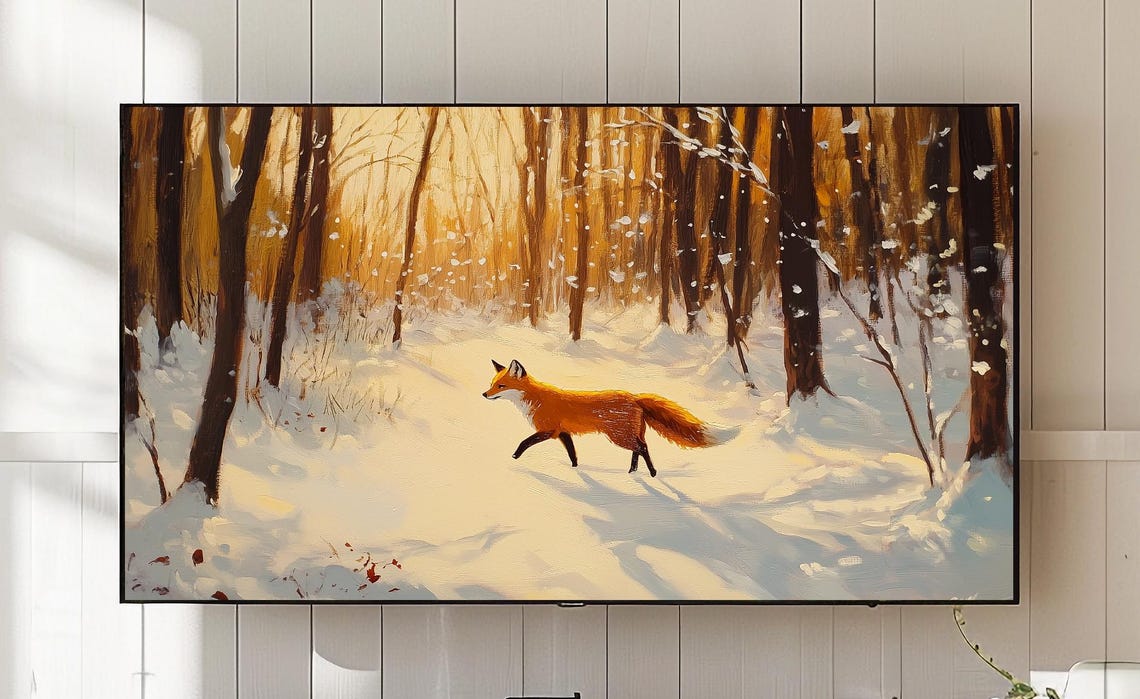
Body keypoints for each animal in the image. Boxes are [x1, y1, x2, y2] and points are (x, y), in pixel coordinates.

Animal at [481, 359, 740, 477]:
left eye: (501, 386)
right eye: (492, 384)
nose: (484, 394)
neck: (536, 400)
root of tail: (635, 397)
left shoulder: (548, 430)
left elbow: (524, 442)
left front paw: (514, 458)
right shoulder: (564, 433)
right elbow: (573, 453)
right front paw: (575, 470)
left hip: (618, 436)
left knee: (642, 448)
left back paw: (652, 473)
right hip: (629, 434)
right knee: (640, 448)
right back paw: (633, 472)